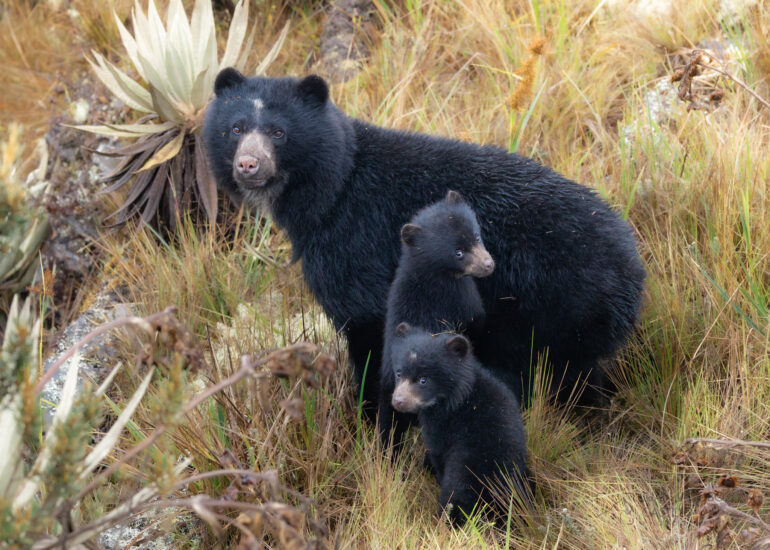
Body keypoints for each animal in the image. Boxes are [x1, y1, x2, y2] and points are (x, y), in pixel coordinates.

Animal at [202, 68, 646, 415]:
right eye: (235, 128)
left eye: (278, 132)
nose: (248, 165)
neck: (330, 189)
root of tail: (633, 269)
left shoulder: (354, 243)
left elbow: (367, 325)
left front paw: (368, 420)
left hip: (547, 307)